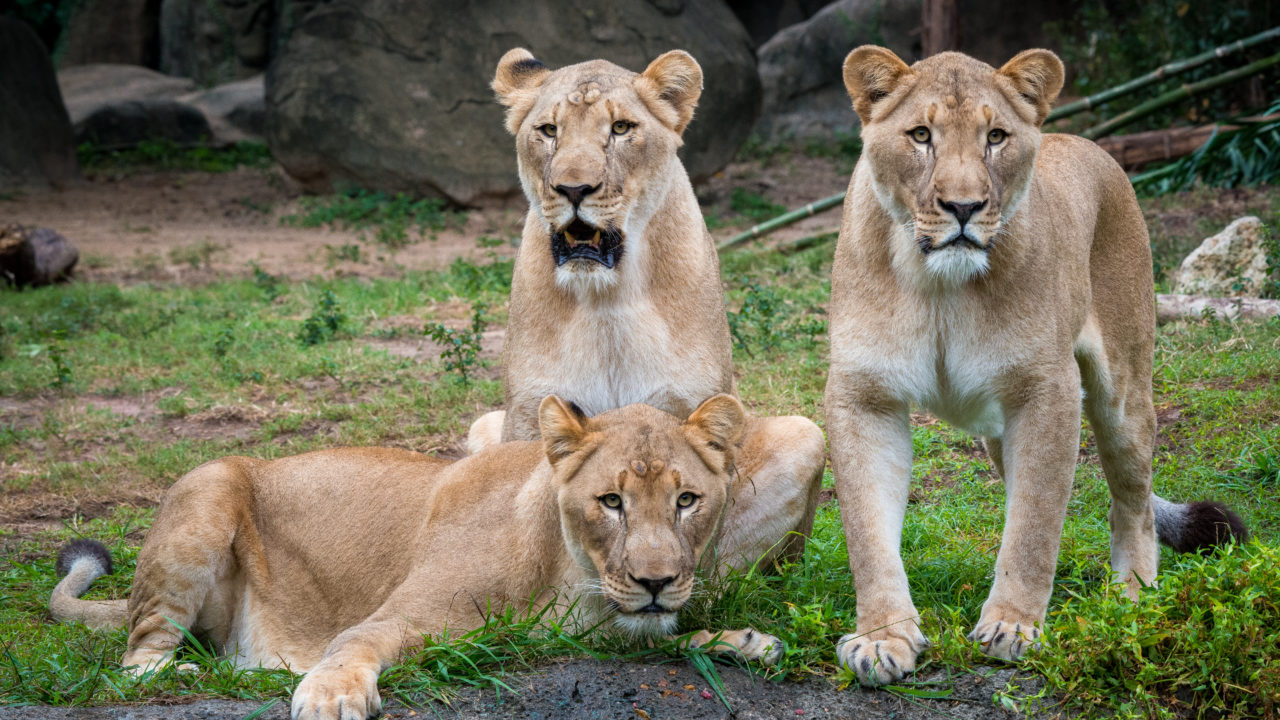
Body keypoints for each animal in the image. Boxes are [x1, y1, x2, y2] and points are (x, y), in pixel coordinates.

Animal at [49, 392, 788, 717]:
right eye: (611, 502)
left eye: (687, 500)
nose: (656, 581)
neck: (572, 582)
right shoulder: (401, 614)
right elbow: (353, 641)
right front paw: (330, 692)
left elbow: (660, 638)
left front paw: (741, 640)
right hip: (206, 491)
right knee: (137, 662)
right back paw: (212, 674)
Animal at [465, 47, 824, 568]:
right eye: (549, 130)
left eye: (620, 128)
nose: (573, 190)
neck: (605, 297)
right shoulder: (529, 413)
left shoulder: (693, 409)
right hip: (483, 425)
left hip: (805, 434)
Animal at [819, 46, 1249, 681]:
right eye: (920, 135)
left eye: (996, 137)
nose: (964, 207)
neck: (937, 285)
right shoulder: (864, 394)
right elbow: (869, 536)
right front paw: (882, 639)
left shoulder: (1047, 391)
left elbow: (1034, 526)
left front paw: (1013, 627)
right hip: (1000, 430)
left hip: (1122, 393)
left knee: (1134, 498)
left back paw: (1132, 594)